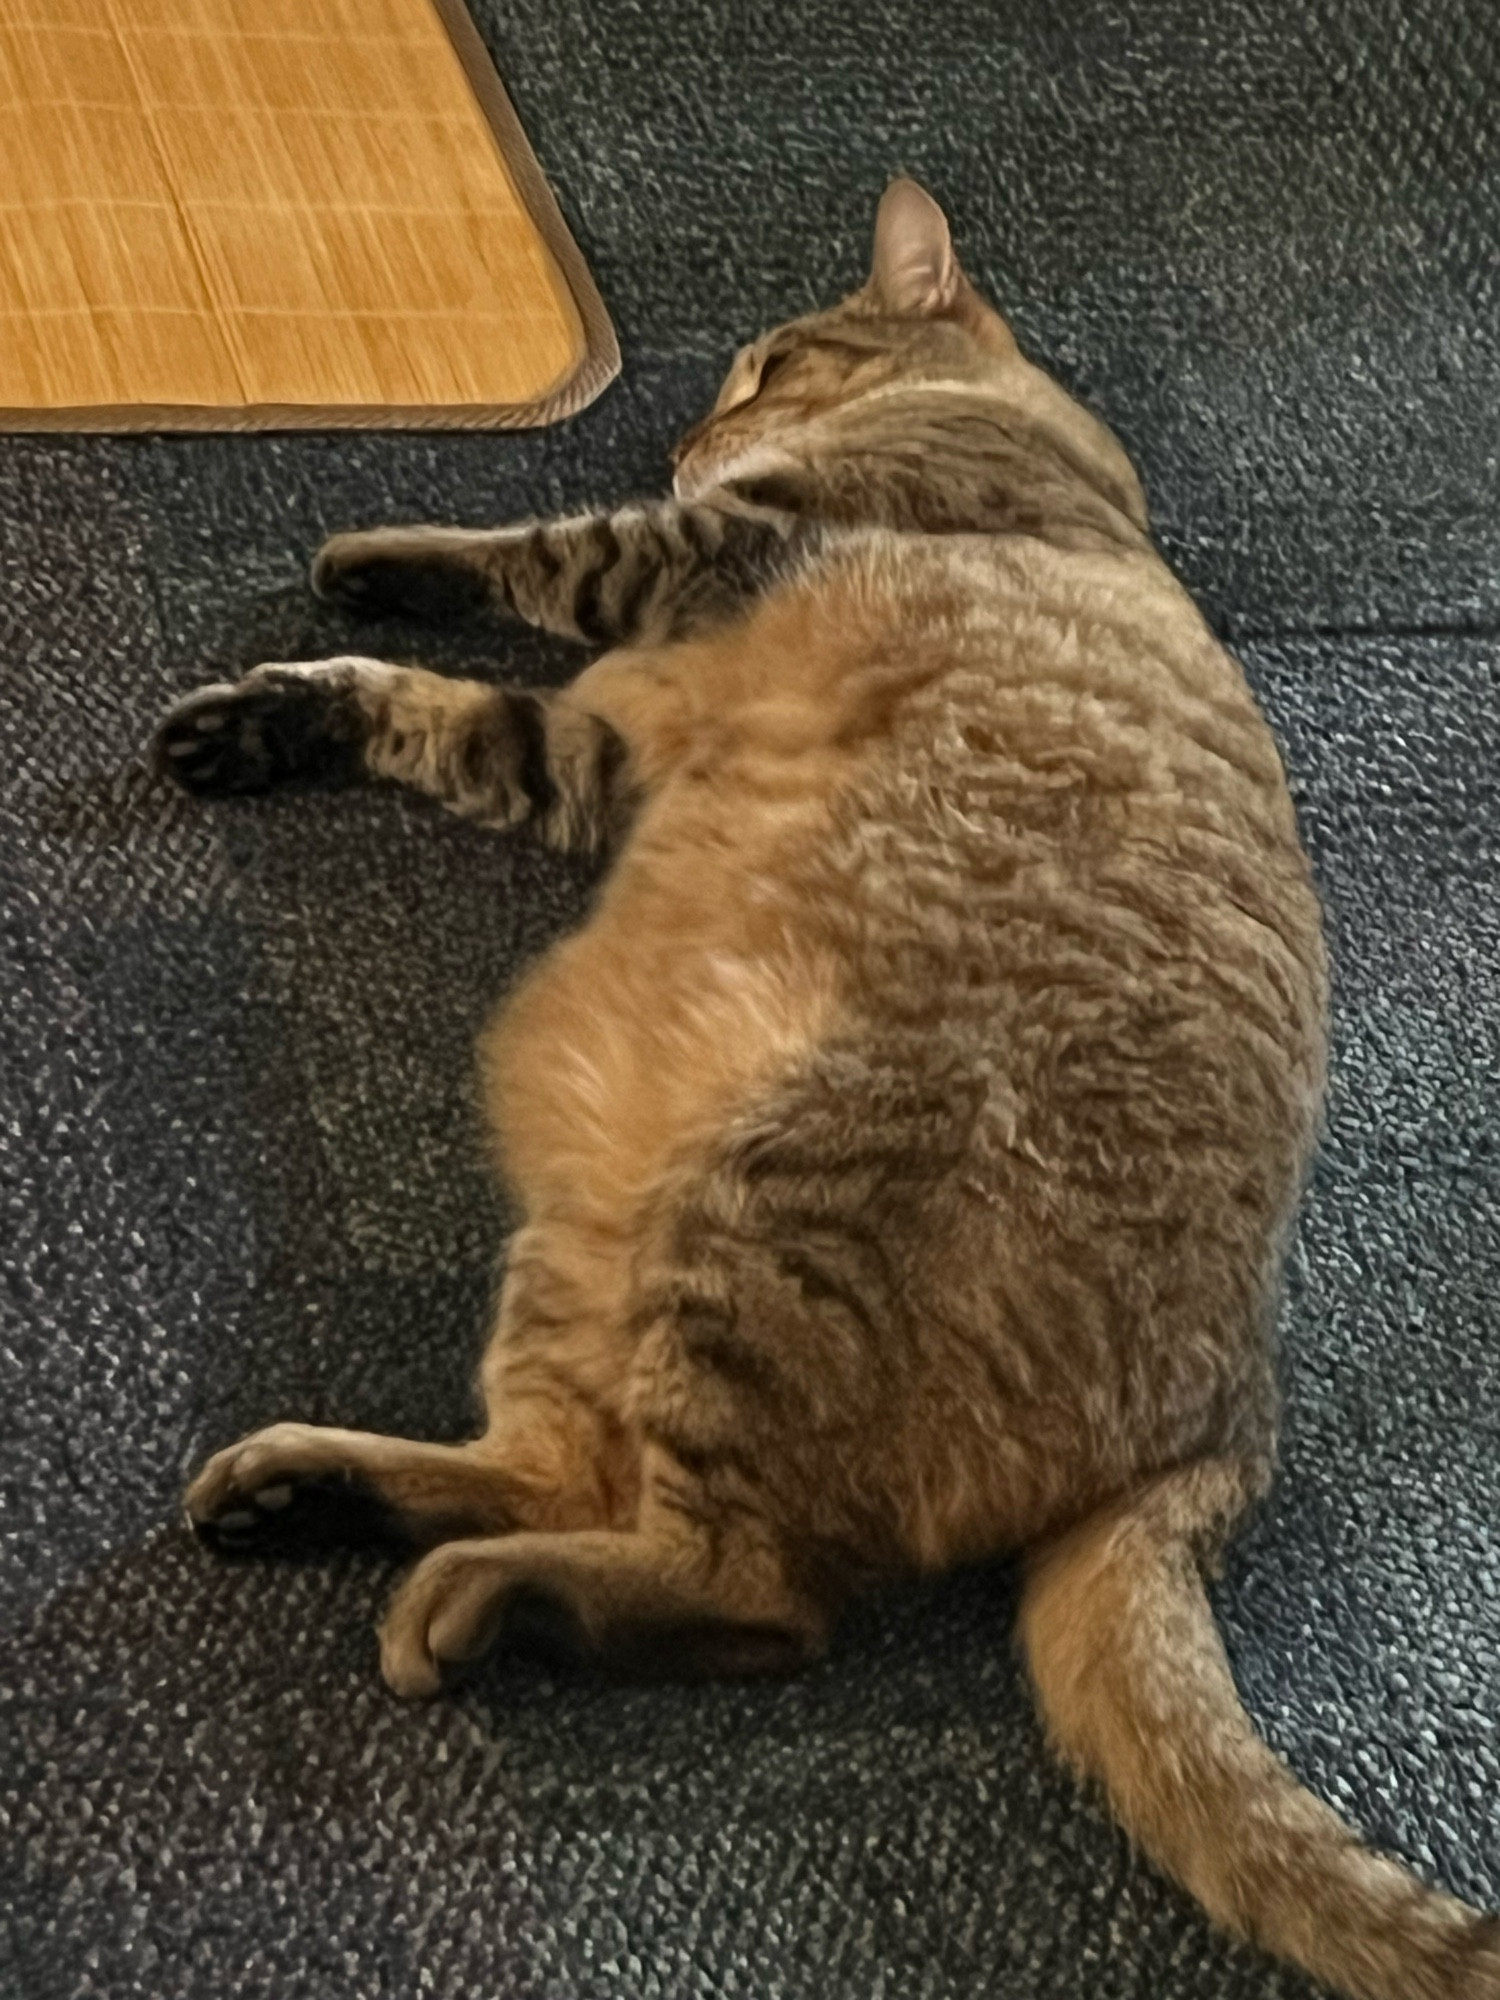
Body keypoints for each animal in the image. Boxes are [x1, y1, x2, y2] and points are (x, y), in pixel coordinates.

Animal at [159, 180, 1496, 1992]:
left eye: (771, 361)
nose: (692, 427)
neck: (1070, 468)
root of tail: (1217, 1438)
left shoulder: (704, 553)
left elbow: (538, 546)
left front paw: (393, 555)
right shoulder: (595, 757)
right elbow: (431, 705)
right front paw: (284, 697)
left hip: (759, 1214)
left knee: (750, 1597)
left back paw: (477, 1597)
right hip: (592, 1238)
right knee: (569, 1472)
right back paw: (313, 1490)